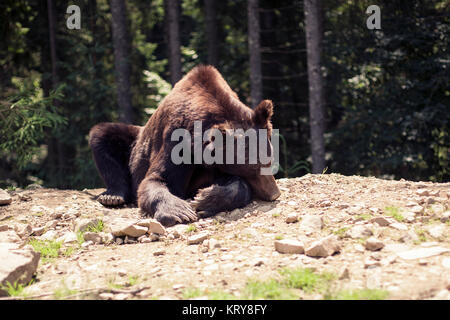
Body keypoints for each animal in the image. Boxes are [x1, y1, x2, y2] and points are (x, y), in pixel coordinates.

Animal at [89, 65, 280, 226]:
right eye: (253, 167)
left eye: (269, 160)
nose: (274, 193)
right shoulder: (175, 140)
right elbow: (156, 179)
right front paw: (180, 211)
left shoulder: (215, 165)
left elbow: (235, 184)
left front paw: (204, 198)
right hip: (134, 142)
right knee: (102, 134)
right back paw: (112, 196)